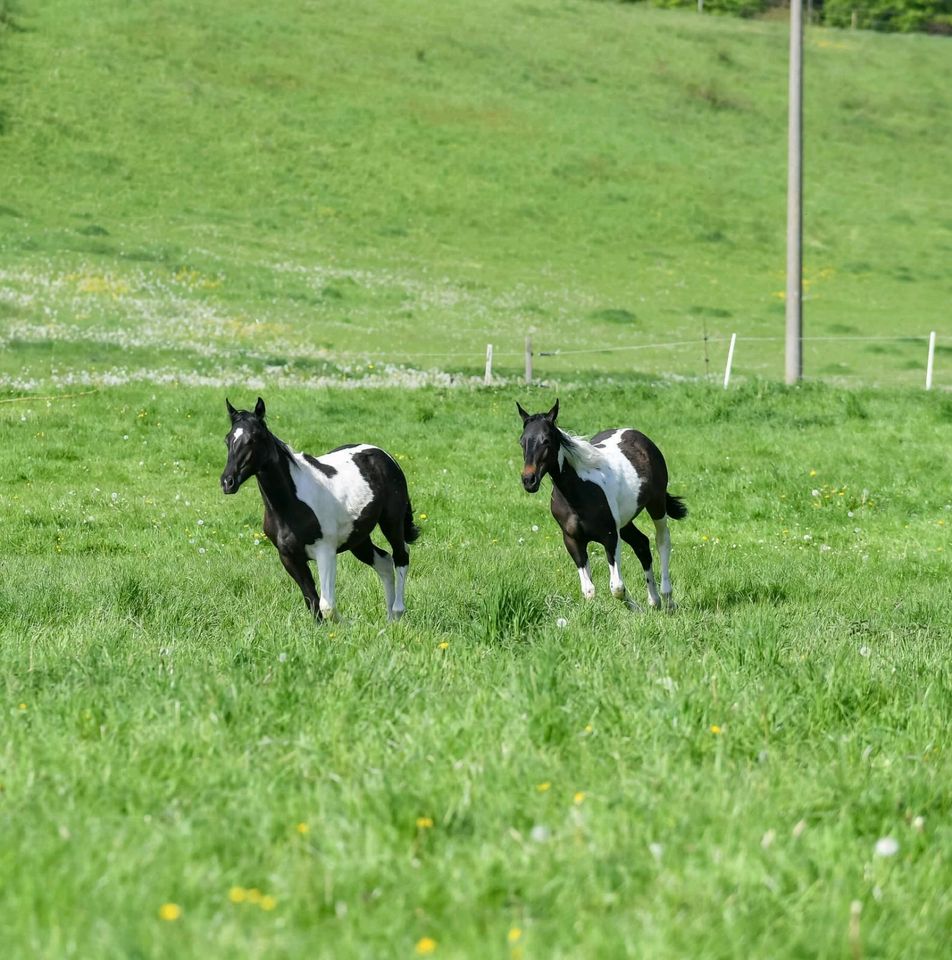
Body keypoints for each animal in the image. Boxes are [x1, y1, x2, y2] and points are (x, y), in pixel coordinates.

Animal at [223, 398, 420, 624]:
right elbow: (313, 602)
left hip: (391, 522)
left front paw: (346, 624)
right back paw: (389, 619)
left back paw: (397, 612)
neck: (290, 505)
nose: (227, 482)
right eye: (227, 440)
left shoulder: (325, 551)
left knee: (401, 555)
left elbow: (327, 606)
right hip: (359, 539)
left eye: (254, 439)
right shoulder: (289, 557)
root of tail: (384, 455)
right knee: (385, 562)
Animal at [516, 400, 688, 612]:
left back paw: (667, 599)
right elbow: (589, 590)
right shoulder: (573, 540)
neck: (578, 494)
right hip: (625, 521)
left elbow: (617, 588)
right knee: (641, 544)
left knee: (662, 541)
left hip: (656, 505)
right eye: (522, 441)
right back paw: (654, 601)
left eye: (546, 440)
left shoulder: (610, 538)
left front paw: (637, 610)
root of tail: (639, 436)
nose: (529, 480)